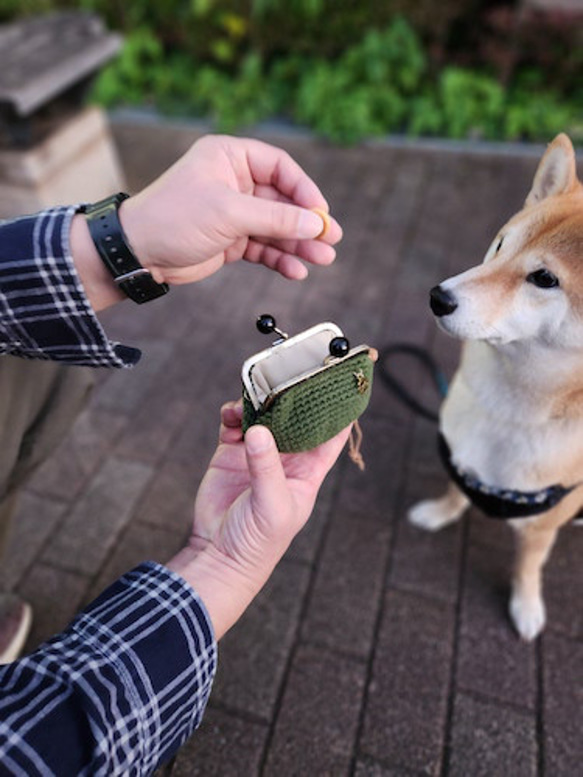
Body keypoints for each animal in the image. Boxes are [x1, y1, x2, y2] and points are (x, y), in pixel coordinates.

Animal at [410, 133, 583, 640]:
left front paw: (525, 606)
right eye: (501, 244)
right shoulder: (462, 456)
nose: (438, 297)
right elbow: (456, 490)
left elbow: (528, 566)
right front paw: (438, 514)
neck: (506, 409)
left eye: (544, 278)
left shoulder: (541, 526)